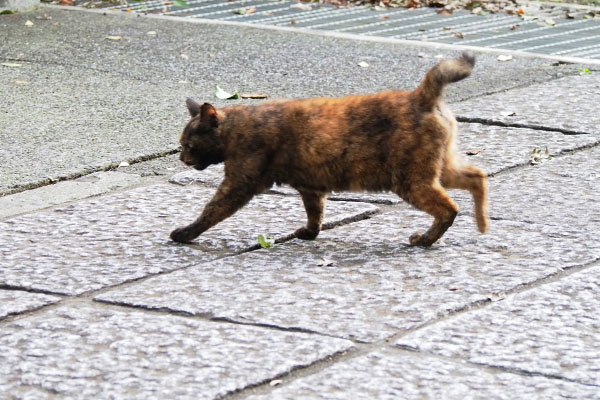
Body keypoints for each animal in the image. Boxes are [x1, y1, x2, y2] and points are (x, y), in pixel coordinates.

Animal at [171, 52, 490, 247]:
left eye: (188, 145)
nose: (183, 159)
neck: (236, 127)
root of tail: (420, 95)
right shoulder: (311, 188)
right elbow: (315, 214)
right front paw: (309, 234)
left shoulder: (238, 184)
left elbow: (211, 211)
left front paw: (185, 233)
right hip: (440, 169)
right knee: (478, 177)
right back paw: (482, 224)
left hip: (412, 180)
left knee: (449, 208)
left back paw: (425, 239)